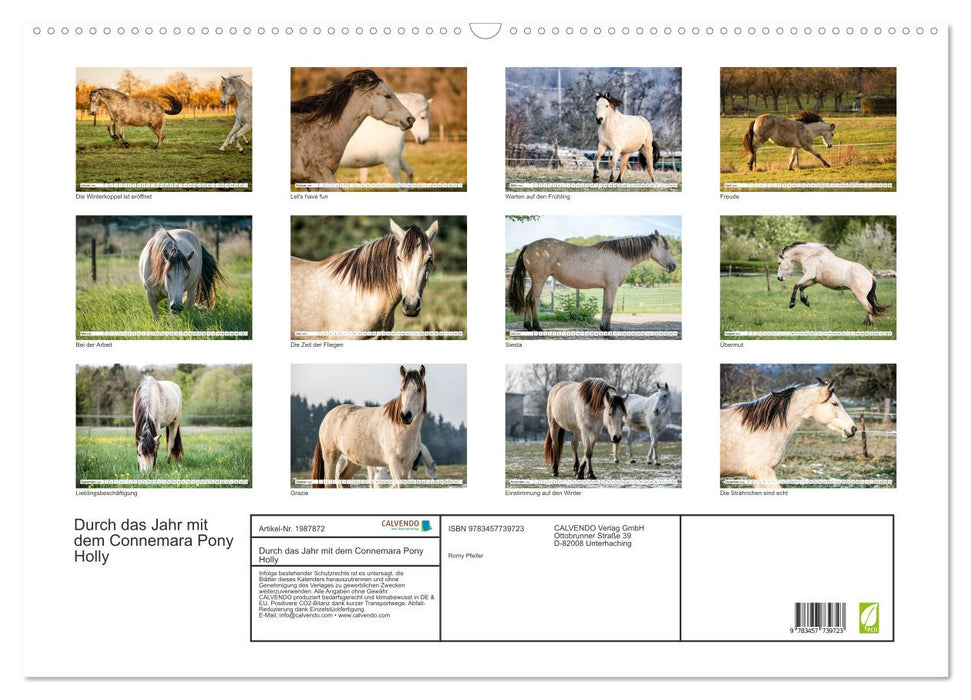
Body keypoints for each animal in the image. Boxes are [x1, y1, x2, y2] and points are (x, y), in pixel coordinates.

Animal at [507, 232, 677, 332]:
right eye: (665, 247)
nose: (674, 266)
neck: (620, 256)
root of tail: (529, 247)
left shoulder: (606, 288)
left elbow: (604, 308)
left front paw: (602, 327)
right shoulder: (612, 287)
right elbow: (609, 308)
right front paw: (607, 330)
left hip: (536, 281)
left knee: (527, 299)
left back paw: (527, 326)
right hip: (539, 280)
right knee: (533, 300)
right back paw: (537, 327)